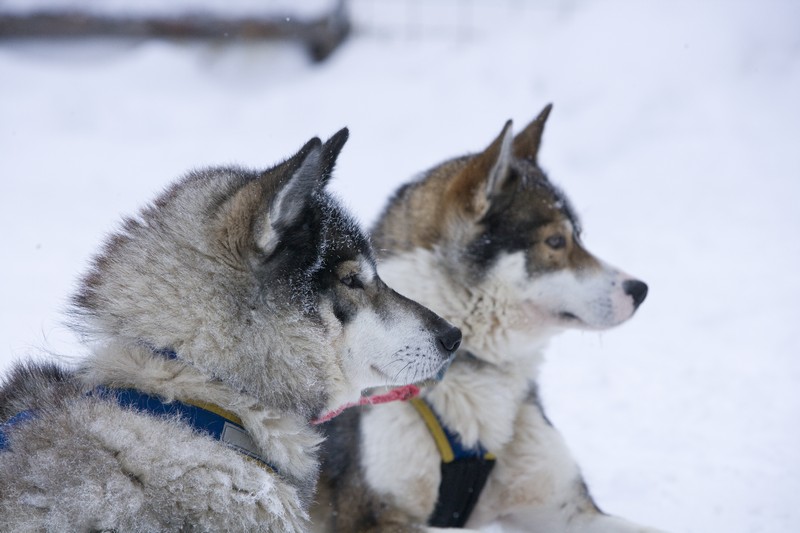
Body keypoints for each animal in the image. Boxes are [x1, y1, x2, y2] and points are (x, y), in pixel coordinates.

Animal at [316, 105, 664, 532]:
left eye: (579, 235)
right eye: (555, 241)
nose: (640, 289)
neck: (468, 367)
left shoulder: (569, 510)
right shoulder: (370, 515)